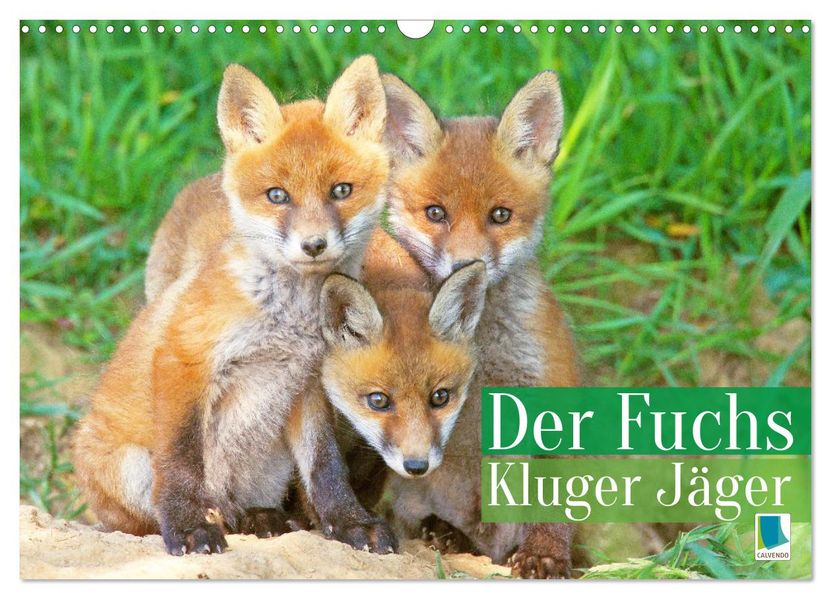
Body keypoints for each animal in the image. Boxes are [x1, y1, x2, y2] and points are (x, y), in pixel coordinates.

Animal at [72, 56, 397, 555]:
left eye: (341, 190)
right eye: (277, 195)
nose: (314, 245)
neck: (287, 323)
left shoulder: (307, 384)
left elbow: (325, 467)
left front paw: (349, 522)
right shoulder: (183, 360)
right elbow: (181, 461)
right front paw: (188, 526)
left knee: (247, 508)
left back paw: (260, 517)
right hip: (130, 468)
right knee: (142, 519)